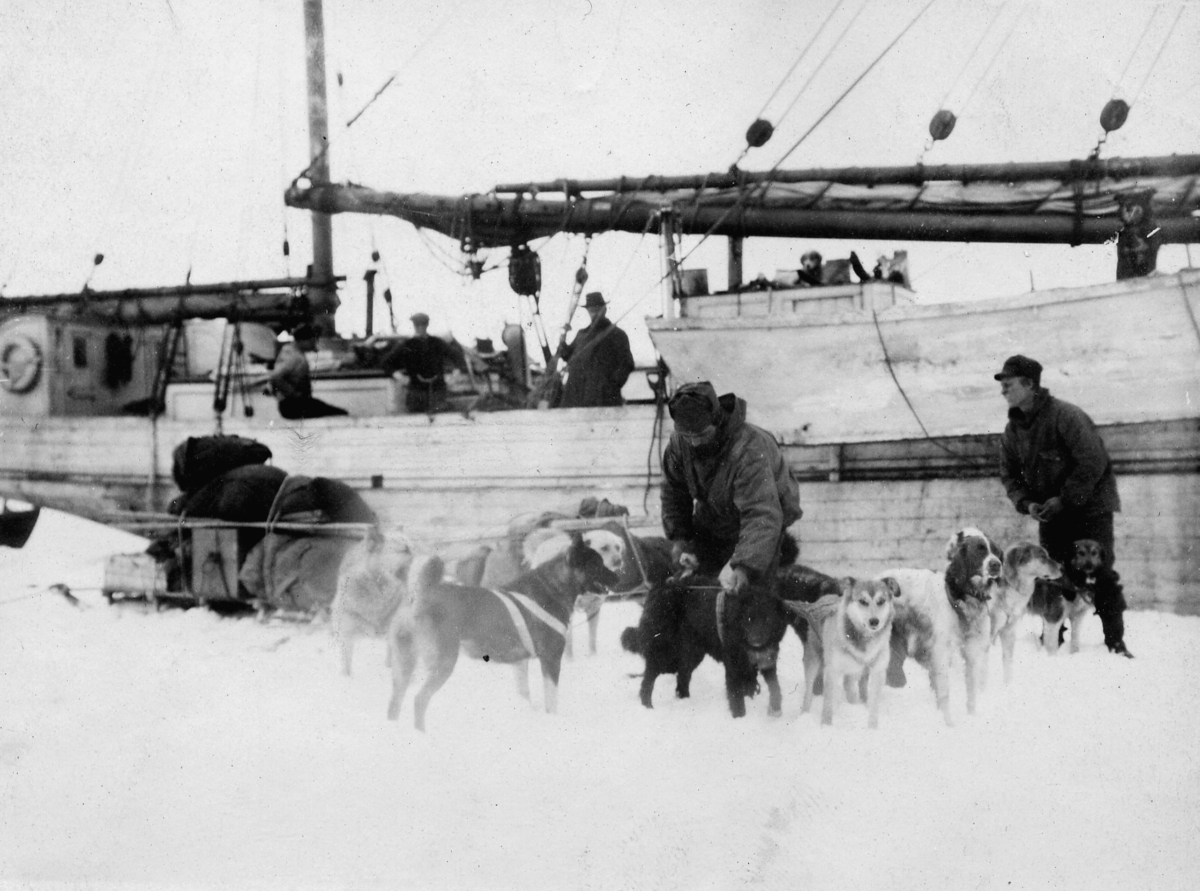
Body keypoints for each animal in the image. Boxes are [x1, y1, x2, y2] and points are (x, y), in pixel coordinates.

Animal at [386, 537, 619, 734]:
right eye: (597, 564)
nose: (619, 576)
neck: (553, 587)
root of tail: (420, 595)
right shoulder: (551, 659)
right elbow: (551, 699)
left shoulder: (520, 663)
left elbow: (525, 693)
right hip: (443, 662)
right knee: (419, 700)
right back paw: (422, 735)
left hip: (404, 665)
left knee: (394, 703)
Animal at [624, 576, 792, 720]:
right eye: (749, 619)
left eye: (768, 619)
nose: (756, 640)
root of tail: (658, 588)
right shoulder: (734, 667)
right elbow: (737, 698)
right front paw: (740, 720)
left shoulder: (766, 661)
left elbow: (775, 686)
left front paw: (775, 709)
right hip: (663, 652)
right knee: (648, 680)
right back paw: (648, 707)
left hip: (692, 653)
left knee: (682, 676)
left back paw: (685, 701)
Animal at [782, 578, 897, 734]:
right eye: (863, 601)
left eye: (881, 601)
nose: (874, 621)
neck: (863, 641)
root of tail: (823, 599)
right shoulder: (833, 670)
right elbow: (828, 704)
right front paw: (826, 727)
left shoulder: (877, 671)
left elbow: (873, 706)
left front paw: (872, 729)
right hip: (814, 660)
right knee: (809, 691)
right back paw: (804, 715)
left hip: (856, 671)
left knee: (851, 686)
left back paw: (855, 705)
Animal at [988, 545, 1065, 682]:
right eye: (1042, 556)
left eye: (1047, 555)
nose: (1062, 567)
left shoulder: (1008, 632)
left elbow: (1007, 665)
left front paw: (1008, 685)